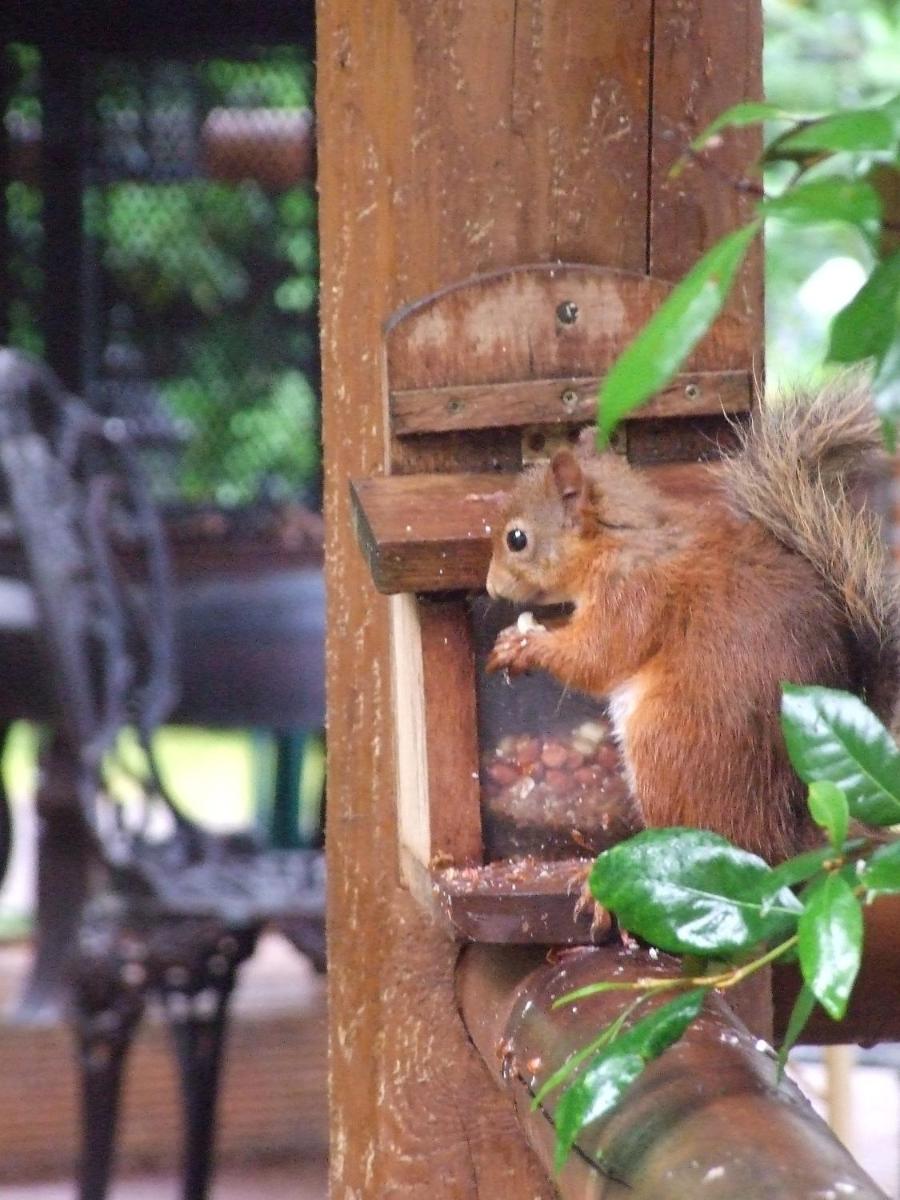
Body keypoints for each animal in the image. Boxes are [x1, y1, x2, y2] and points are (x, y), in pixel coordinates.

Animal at [485, 378, 900, 864]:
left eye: (517, 539)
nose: (490, 587)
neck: (619, 538)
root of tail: (791, 832)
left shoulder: (635, 594)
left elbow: (598, 657)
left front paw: (525, 645)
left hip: (666, 748)